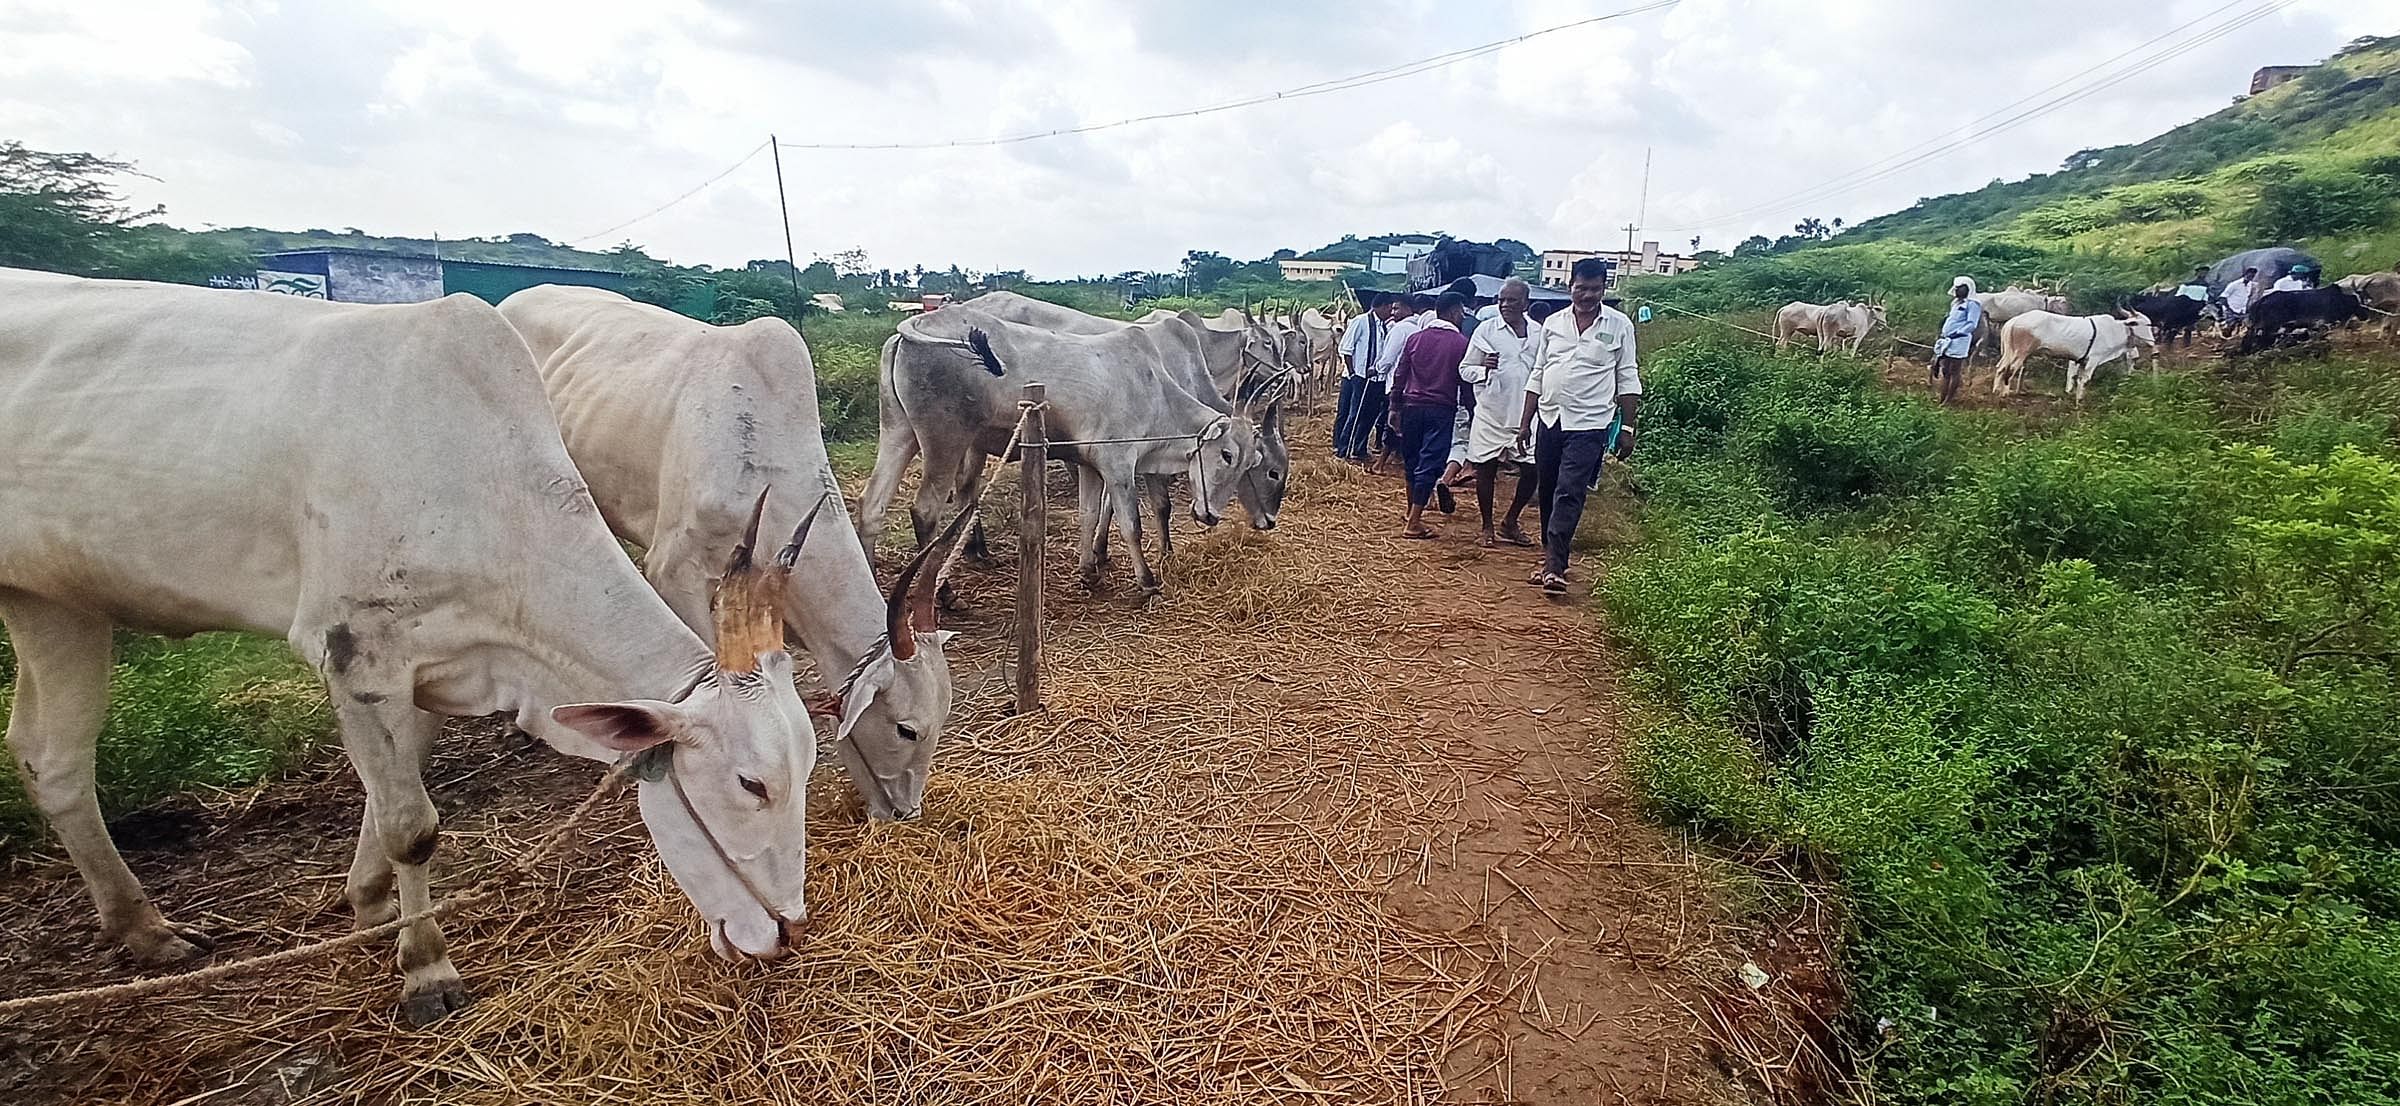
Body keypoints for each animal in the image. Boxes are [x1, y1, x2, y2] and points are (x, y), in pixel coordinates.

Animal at [0, 748, 648, 1017]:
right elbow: (409, 824)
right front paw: (426, 969)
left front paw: (371, 903)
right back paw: (155, 935)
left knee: (47, 759)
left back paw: (145, 929)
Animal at [859, 302, 1267, 594]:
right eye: (1228, 455)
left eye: (1253, 462)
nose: (1210, 515)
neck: (1155, 390)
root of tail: (913, 329)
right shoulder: (1119, 464)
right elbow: (1131, 524)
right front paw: (1147, 581)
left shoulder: (1089, 464)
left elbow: (1088, 514)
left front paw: (1088, 570)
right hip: (946, 440)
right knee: (925, 510)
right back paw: (945, 595)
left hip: (898, 432)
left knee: (871, 505)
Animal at [1987, 305, 2160, 400]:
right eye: (2145, 324)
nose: (2153, 343)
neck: (2115, 330)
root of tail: (2013, 321)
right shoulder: (2092, 360)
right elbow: (2084, 380)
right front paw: (2080, 400)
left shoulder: (2078, 360)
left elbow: (2073, 377)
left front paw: (2070, 394)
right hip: (2020, 353)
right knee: (2010, 370)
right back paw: (2005, 393)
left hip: (2009, 352)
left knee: (2001, 367)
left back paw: (1996, 390)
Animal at [2236, 289, 2371, 352]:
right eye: (2358, 303)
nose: (2365, 316)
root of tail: (2261, 301)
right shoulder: (2325, 322)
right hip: (2270, 325)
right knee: (2262, 339)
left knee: (2250, 338)